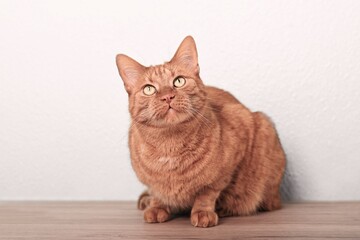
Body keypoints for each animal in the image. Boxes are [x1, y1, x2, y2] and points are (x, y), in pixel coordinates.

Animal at [116, 35, 286, 227]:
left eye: (179, 81)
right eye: (149, 89)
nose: (167, 97)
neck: (169, 144)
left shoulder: (231, 158)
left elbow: (208, 192)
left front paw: (203, 212)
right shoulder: (149, 181)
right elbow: (156, 192)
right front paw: (156, 206)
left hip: (265, 128)